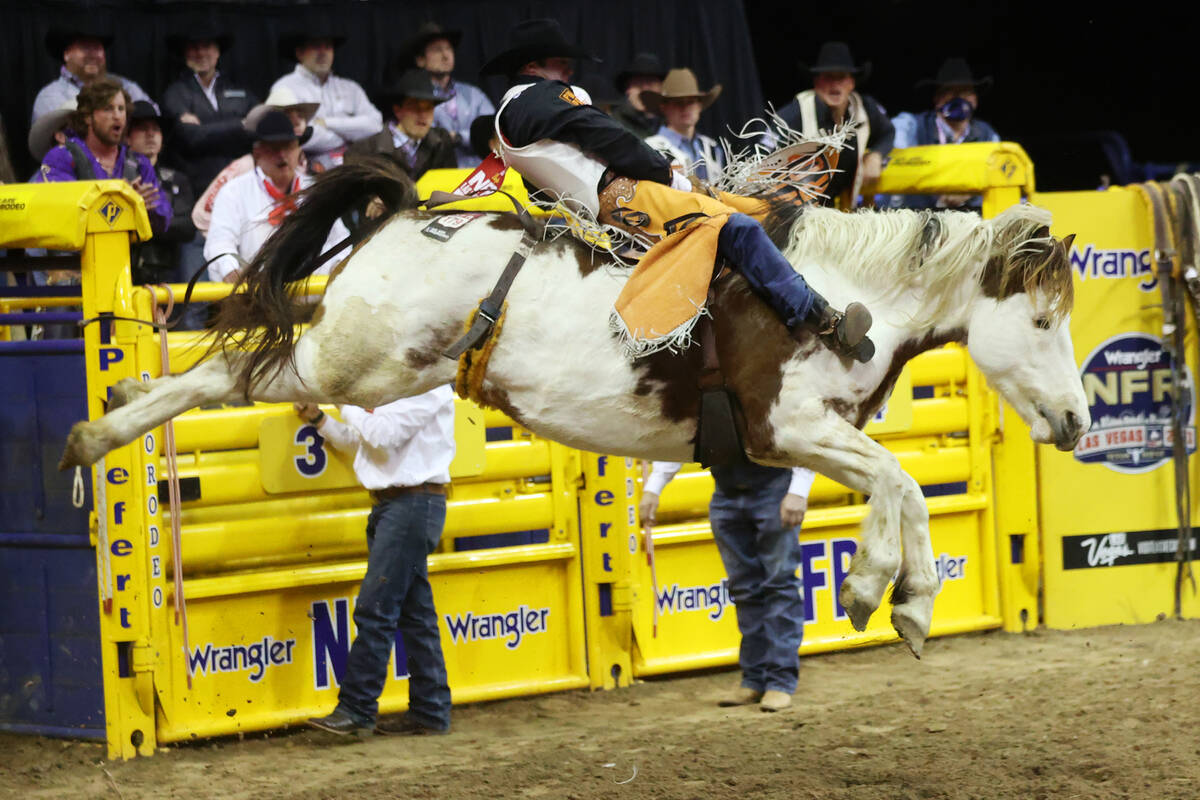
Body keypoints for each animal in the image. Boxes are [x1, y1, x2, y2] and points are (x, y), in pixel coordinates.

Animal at [65, 158, 1099, 657]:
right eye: (1043, 319)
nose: (1080, 424)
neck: (837, 292)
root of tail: (405, 214)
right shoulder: (783, 425)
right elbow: (904, 485)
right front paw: (879, 588)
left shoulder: (801, 440)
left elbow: (897, 488)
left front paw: (903, 600)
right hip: (351, 361)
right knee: (233, 376)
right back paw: (98, 431)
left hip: (380, 368)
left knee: (234, 374)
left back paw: (115, 405)